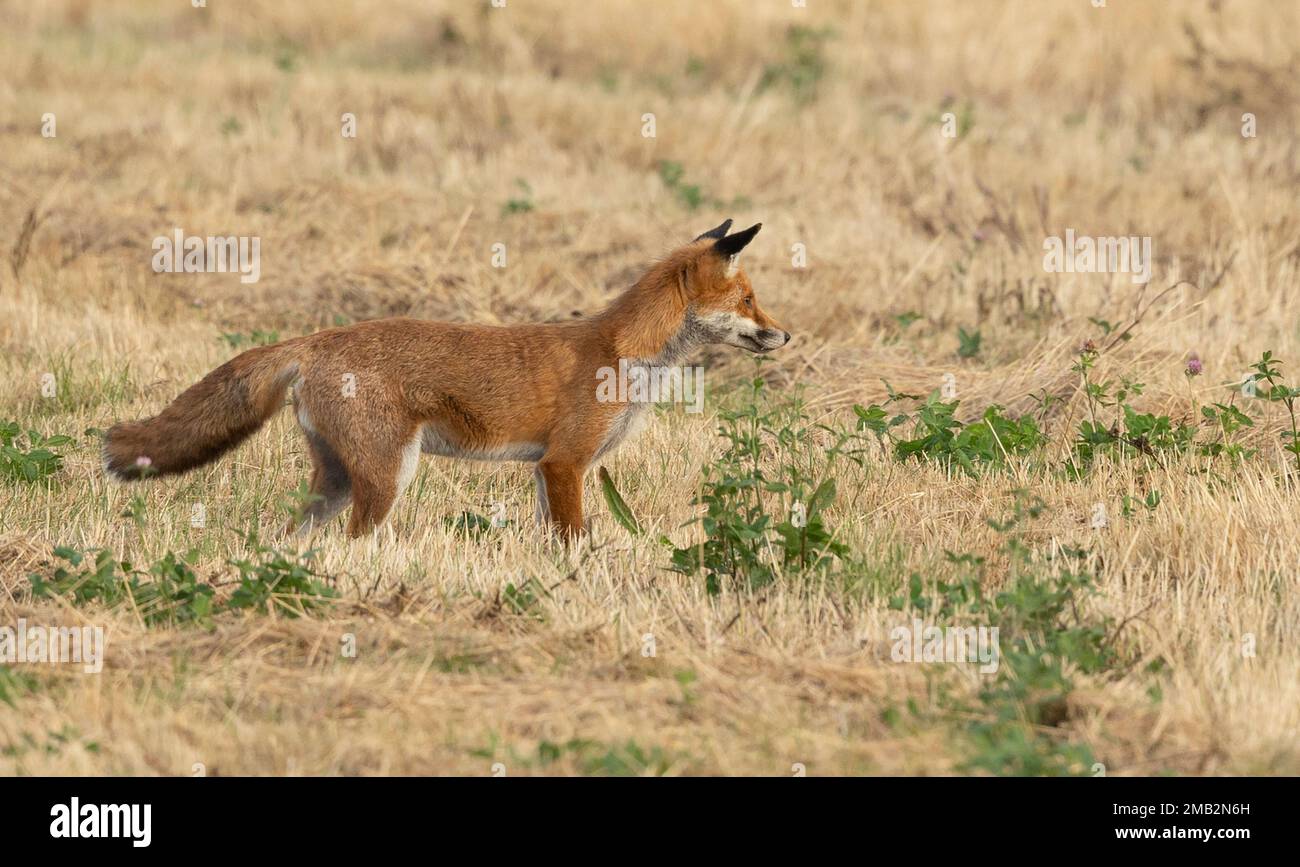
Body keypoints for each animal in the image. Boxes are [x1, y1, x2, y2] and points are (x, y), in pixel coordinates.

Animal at [103, 219, 790, 539]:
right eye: (751, 301)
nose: (786, 336)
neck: (623, 355)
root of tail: (316, 339)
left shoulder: (546, 470)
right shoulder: (566, 462)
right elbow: (575, 539)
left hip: (334, 482)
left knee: (297, 538)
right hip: (387, 475)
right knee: (356, 539)